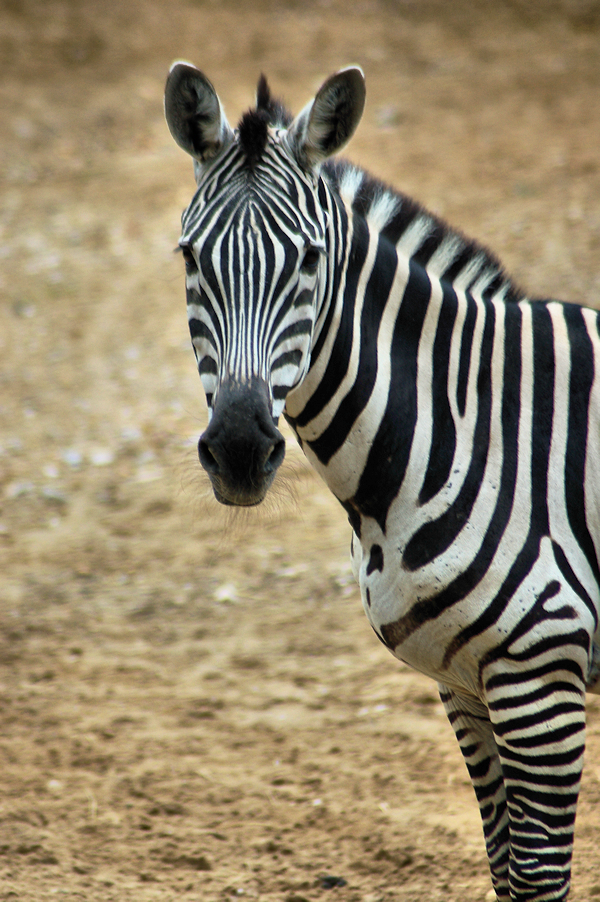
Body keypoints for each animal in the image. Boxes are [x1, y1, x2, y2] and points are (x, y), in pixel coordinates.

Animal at [164, 62, 600, 901]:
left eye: (309, 260)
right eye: (190, 258)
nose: (238, 450)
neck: (465, 427)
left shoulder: (543, 672)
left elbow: (535, 878)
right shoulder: (464, 682)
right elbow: (503, 867)